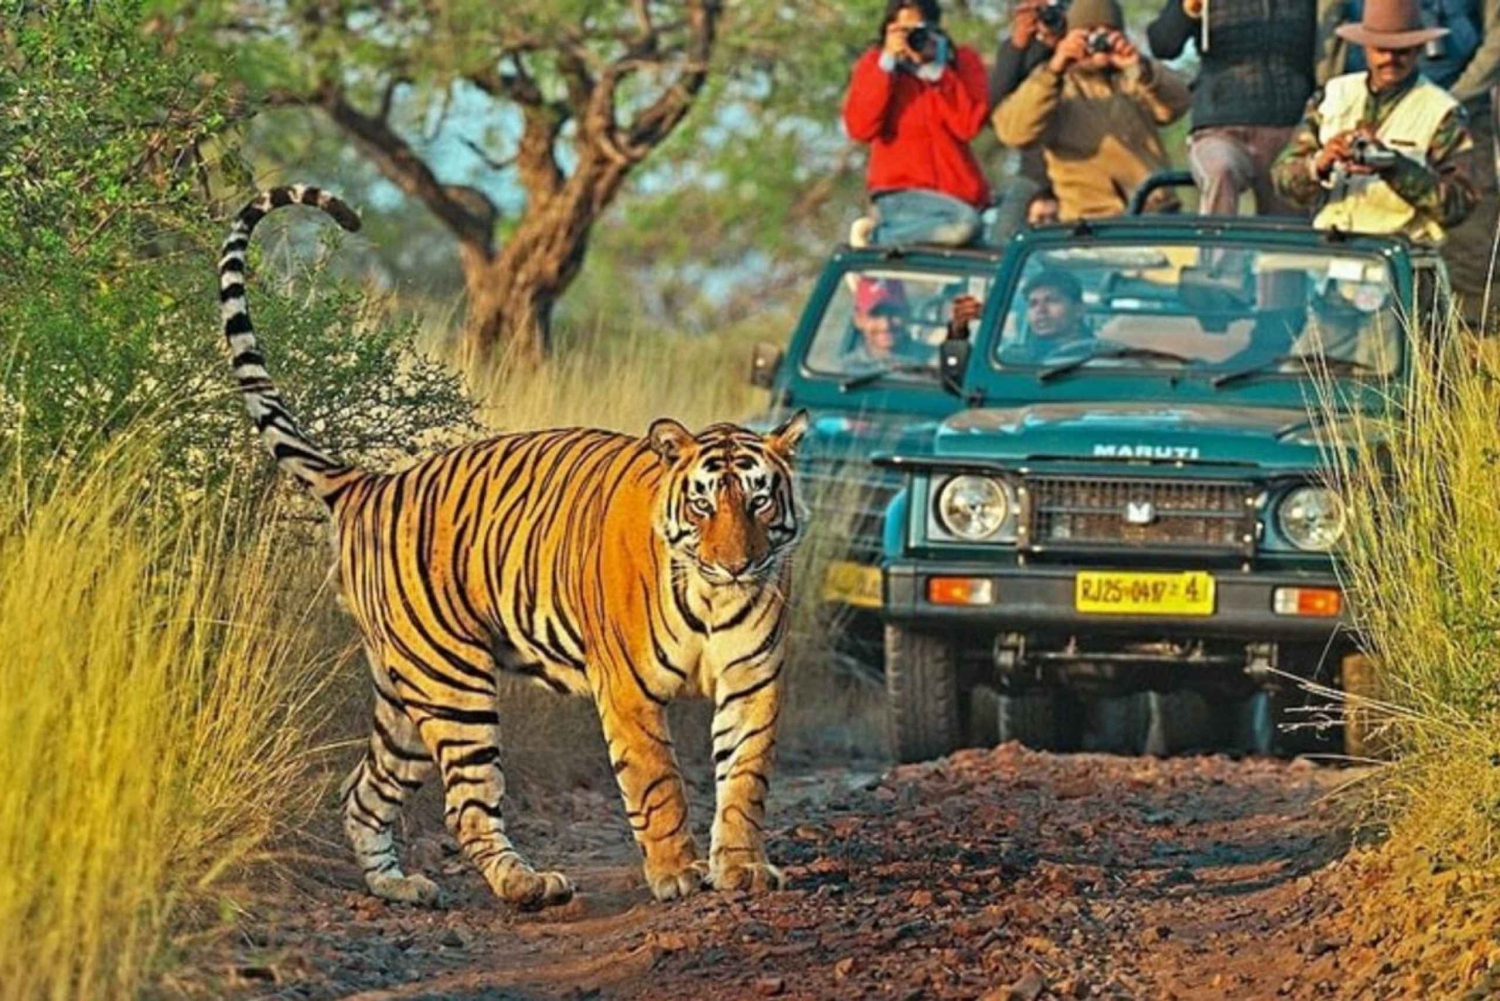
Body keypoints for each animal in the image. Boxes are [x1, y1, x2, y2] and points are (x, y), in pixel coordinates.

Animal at [214, 182, 810, 906]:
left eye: (758, 500)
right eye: (703, 504)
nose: (736, 564)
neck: (711, 596)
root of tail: (370, 482)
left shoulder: (753, 679)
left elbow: (745, 780)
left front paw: (743, 867)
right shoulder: (629, 692)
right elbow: (658, 785)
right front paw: (676, 873)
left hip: (404, 695)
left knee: (363, 793)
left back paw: (400, 886)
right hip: (452, 681)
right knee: (467, 804)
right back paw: (527, 883)